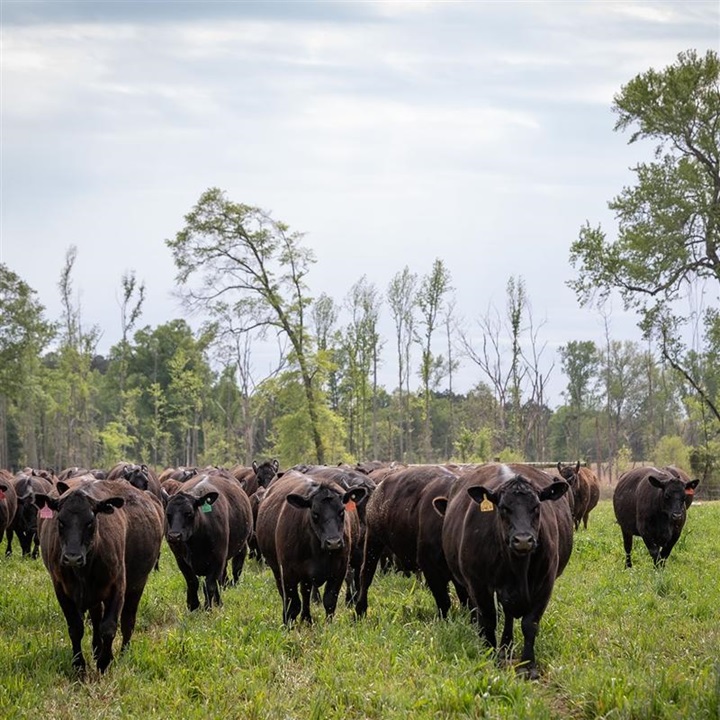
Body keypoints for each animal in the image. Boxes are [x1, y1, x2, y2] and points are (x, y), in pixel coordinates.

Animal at [35, 480, 163, 672]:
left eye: (90, 522)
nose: (72, 557)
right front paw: (79, 664)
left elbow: (109, 627)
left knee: (128, 621)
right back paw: (96, 649)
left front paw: (104, 661)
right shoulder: (61, 588)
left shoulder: (118, 586)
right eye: (60, 521)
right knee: (96, 617)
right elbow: (76, 628)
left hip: (137, 584)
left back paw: (123, 654)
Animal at [165, 476, 255, 612]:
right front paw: (193, 605)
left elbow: (210, 585)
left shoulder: (218, 559)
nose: (174, 536)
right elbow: (192, 582)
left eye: (189, 513)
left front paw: (208, 608)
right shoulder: (180, 560)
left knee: (234, 571)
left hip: (241, 547)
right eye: (168, 514)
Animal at [255, 472, 366, 624]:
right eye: (315, 513)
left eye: (342, 511)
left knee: (305, 592)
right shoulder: (288, 572)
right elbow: (293, 603)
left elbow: (329, 601)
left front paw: (328, 624)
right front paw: (288, 624)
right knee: (286, 595)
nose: (334, 542)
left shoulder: (339, 570)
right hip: (277, 569)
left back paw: (306, 618)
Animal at [354, 466, 462, 620]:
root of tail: (378, 489)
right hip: (373, 539)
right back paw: (360, 610)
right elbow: (444, 601)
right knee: (366, 574)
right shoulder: (429, 567)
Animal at [436, 464, 572, 676]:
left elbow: (529, 624)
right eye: (503, 508)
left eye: (536, 506)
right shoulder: (479, 584)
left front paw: (528, 666)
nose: (523, 540)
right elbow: (489, 619)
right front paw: (490, 656)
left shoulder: (545, 583)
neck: (518, 567)